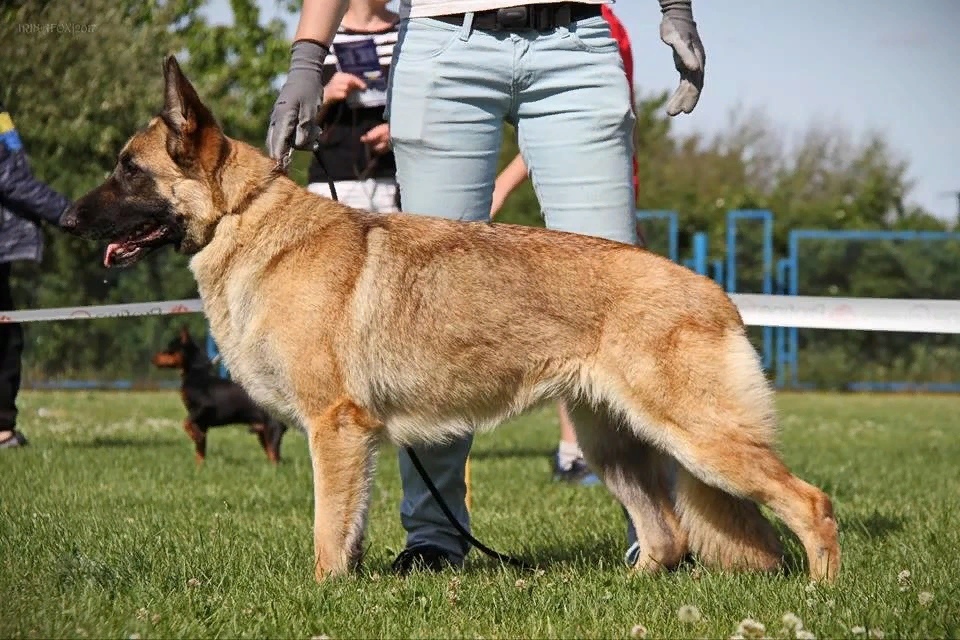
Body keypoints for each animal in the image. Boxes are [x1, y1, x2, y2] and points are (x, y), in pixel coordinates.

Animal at [62, 57, 840, 584]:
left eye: (128, 170)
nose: (65, 218)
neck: (244, 216)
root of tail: (716, 294)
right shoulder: (352, 439)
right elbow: (348, 526)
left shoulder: (333, 429)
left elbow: (326, 530)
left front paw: (323, 594)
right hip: (613, 446)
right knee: (669, 535)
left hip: (701, 440)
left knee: (812, 503)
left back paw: (824, 592)